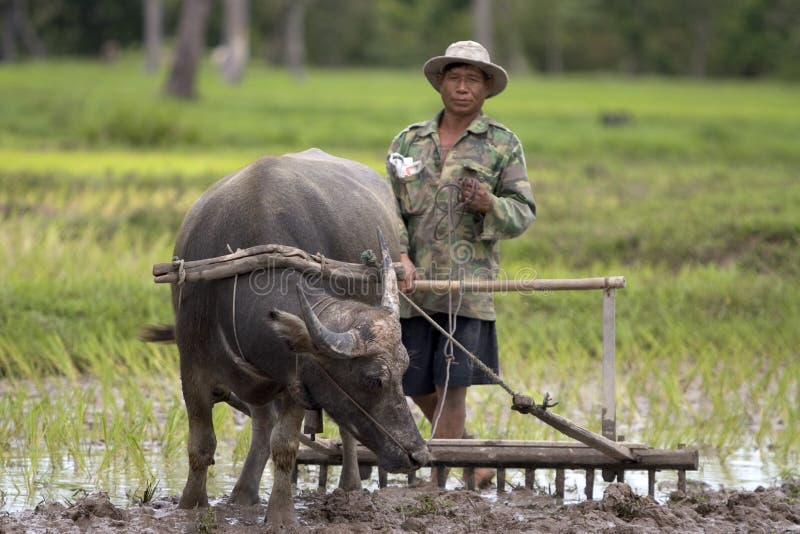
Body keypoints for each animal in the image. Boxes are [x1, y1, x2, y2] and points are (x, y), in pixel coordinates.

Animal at [155, 150, 432, 528]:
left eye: (404, 374)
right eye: (373, 379)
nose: (419, 455)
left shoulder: (297, 379)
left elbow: (285, 446)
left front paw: (281, 515)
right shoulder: (193, 370)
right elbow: (201, 444)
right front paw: (191, 505)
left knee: (341, 429)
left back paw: (350, 486)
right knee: (261, 422)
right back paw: (243, 494)